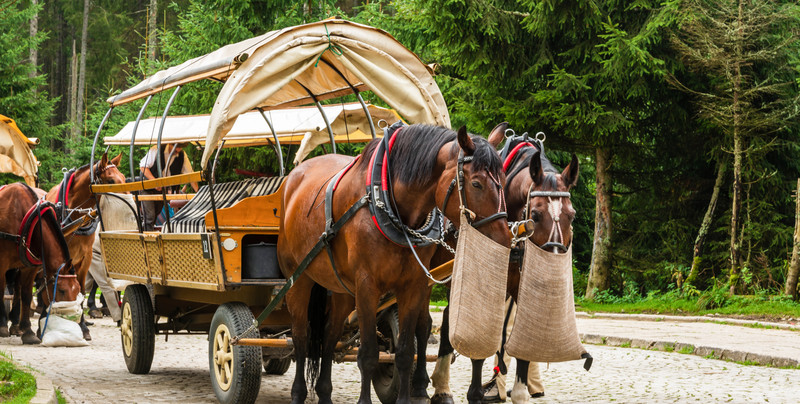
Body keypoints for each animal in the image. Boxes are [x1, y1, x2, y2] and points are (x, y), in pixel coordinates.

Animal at [0, 183, 81, 344]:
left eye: (78, 290)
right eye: (61, 290)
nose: (70, 319)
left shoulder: (29, 268)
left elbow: (26, 295)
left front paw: (27, 331)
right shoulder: (1, 263)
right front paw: (1, 326)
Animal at [278, 124, 510, 404]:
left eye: (504, 181)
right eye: (476, 183)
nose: (505, 240)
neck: (388, 203)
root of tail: (292, 179)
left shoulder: (413, 285)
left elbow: (405, 351)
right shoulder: (367, 286)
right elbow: (368, 354)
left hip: (341, 288)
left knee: (328, 335)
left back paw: (324, 392)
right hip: (298, 280)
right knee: (301, 337)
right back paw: (298, 392)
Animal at [428, 131, 580, 404]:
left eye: (571, 215)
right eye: (536, 215)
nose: (551, 267)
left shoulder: (522, 288)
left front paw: (519, 392)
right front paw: (475, 393)